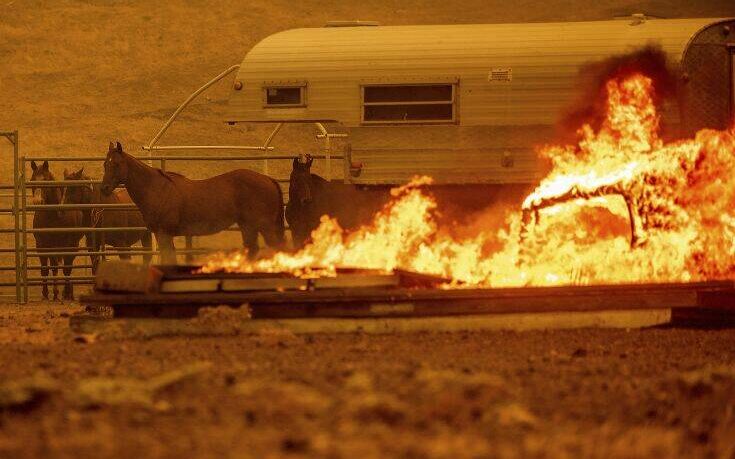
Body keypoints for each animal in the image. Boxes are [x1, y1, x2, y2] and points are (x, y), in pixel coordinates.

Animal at [29, 162, 84, 302]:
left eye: (46, 180)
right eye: (32, 180)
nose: (37, 201)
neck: (54, 216)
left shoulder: (67, 246)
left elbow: (64, 269)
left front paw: (61, 293)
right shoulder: (42, 245)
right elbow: (46, 269)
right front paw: (46, 294)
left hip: (71, 246)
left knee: (66, 267)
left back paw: (67, 293)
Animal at [102, 142, 286, 264]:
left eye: (116, 164)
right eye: (105, 164)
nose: (104, 188)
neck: (157, 188)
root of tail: (268, 179)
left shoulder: (164, 234)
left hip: (264, 226)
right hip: (248, 226)